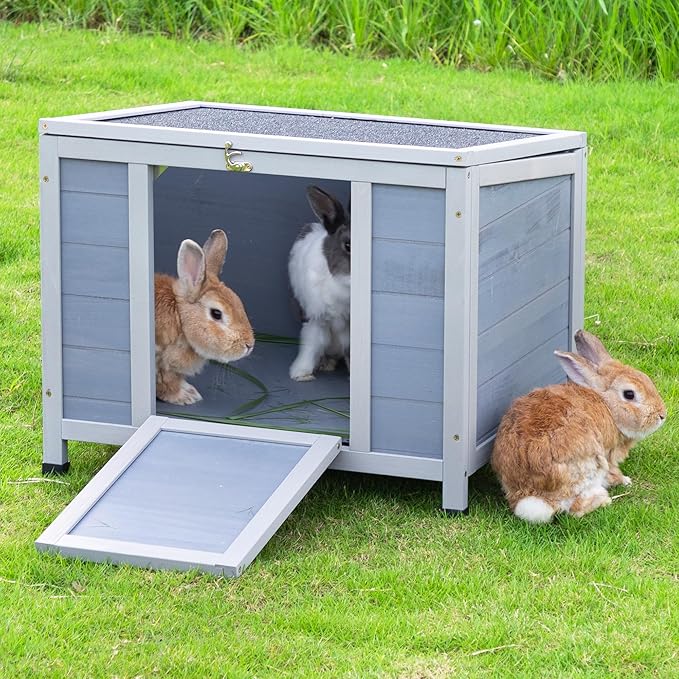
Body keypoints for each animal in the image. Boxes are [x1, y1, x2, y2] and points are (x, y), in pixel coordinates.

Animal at [154, 229, 254, 405]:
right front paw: (187, 397)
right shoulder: (162, 363)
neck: (179, 318)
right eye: (216, 314)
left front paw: (190, 392)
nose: (249, 345)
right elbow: (167, 383)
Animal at [491, 330, 666, 523]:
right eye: (629, 394)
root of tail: (528, 495)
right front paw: (625, 480)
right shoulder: (608, 456)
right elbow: (613, 473)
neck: (608, 406)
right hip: (590, 467)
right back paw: (603, 499)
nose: (662, 415)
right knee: (575, 508)